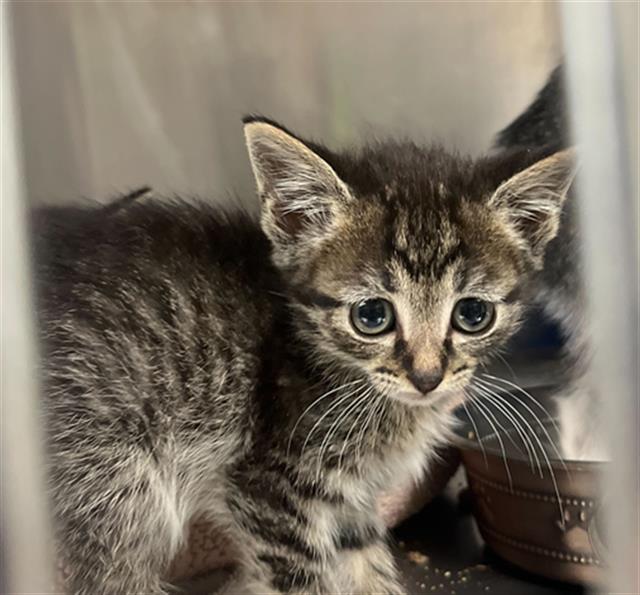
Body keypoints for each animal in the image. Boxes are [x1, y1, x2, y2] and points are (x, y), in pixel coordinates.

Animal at [32, 117, 576, 595]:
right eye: (372, 315)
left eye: (473, 314)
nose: (427, 378)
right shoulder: (267, 487)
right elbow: (304, 580)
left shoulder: (354, 502)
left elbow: (367, 566)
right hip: (117, 476)